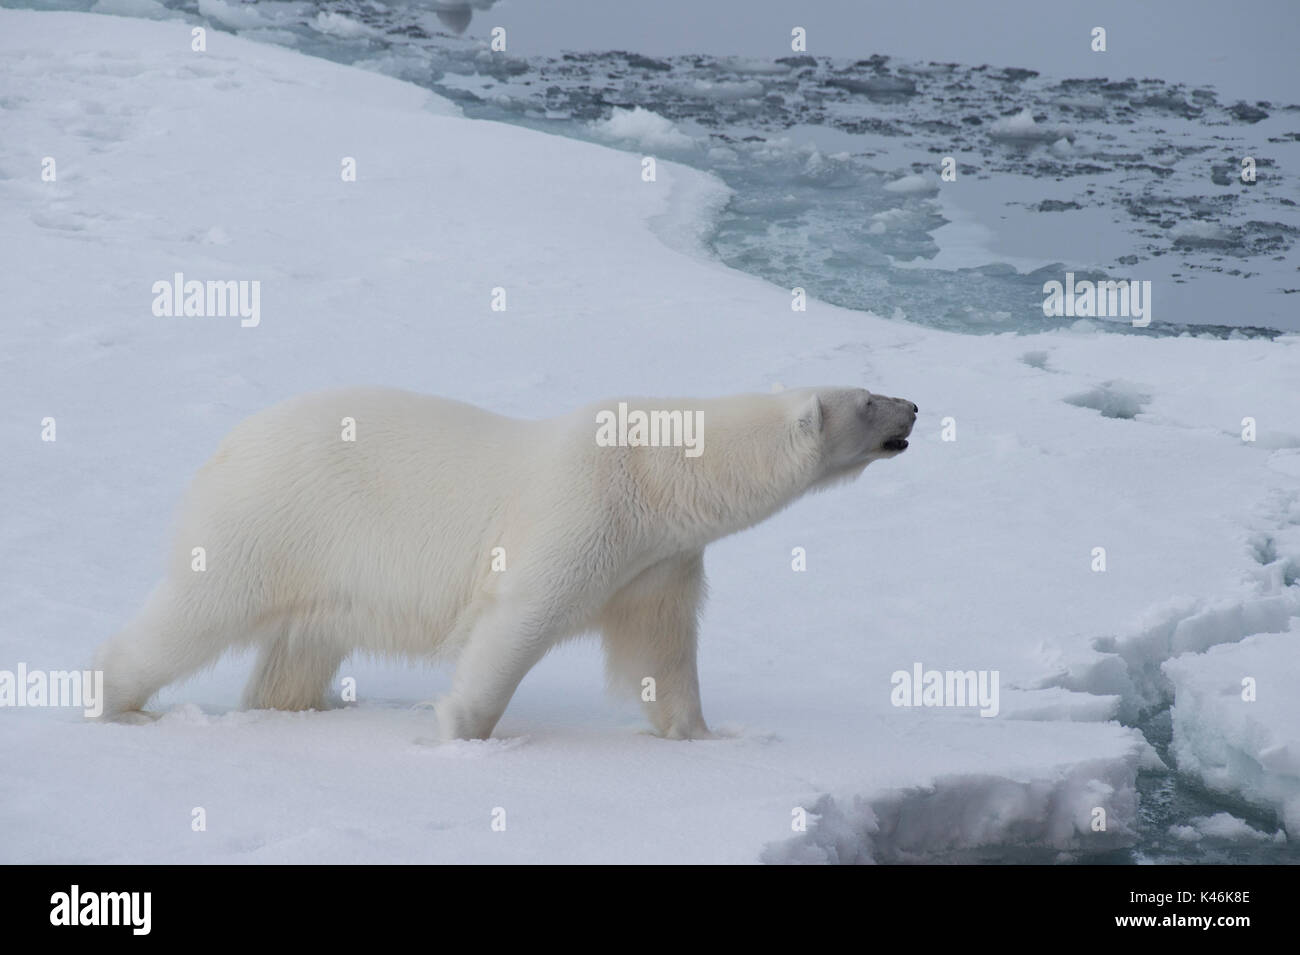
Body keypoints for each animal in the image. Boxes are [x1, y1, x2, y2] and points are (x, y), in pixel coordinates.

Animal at [96, 387, 920, 738]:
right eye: (867, 399)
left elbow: (661, 651)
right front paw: (462, 727)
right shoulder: (585, 511)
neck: (660, 473)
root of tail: (228, 444)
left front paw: (699, 736)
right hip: (272, 521)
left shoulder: (658, 560)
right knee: (196, 613)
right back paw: (118, 702)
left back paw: (305, 706)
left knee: (302, 644)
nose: (914, 407)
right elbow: (520, 617)